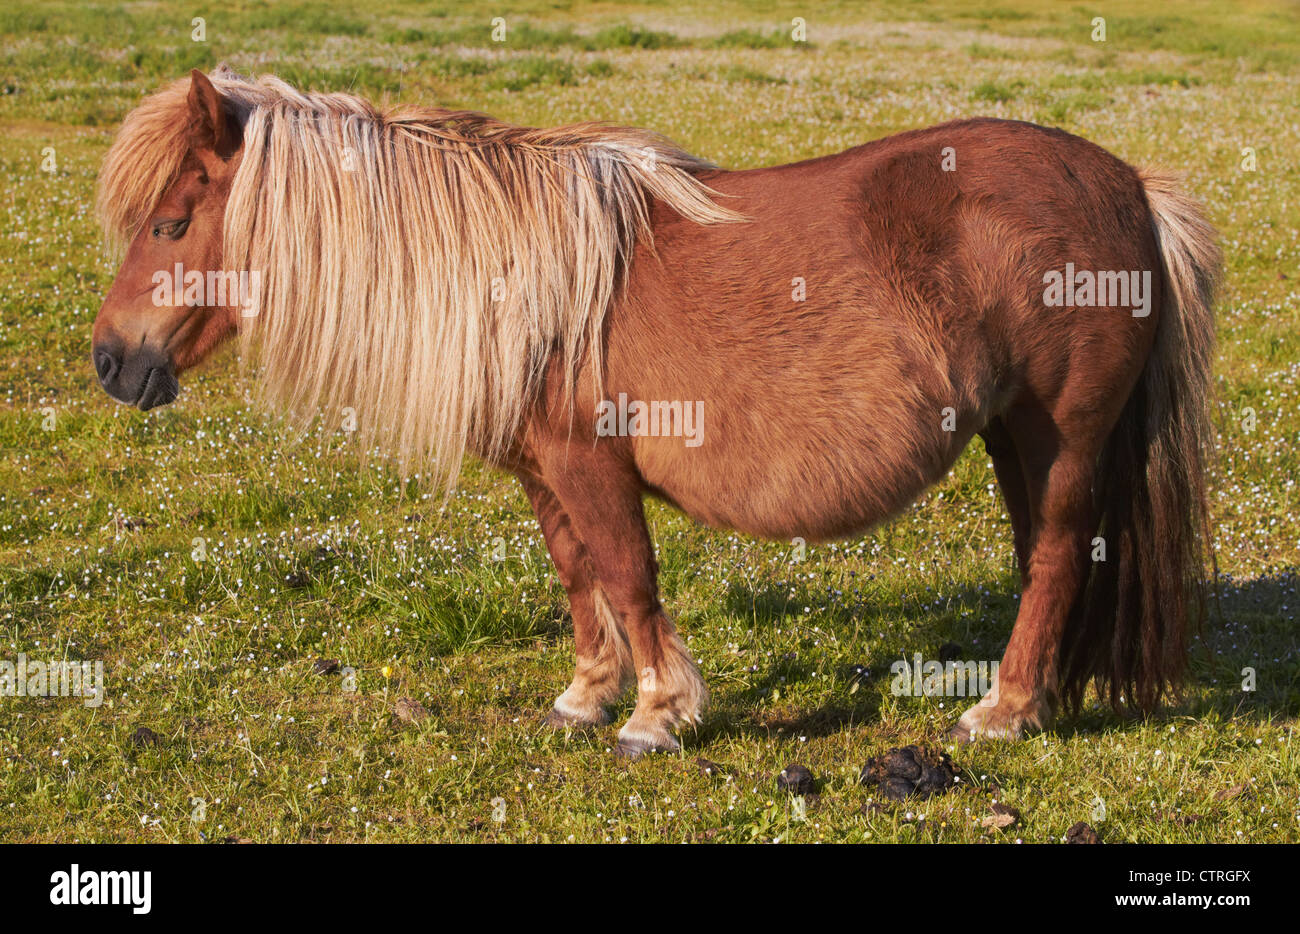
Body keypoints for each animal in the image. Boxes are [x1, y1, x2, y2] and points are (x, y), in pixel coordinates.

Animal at [94, 71, 1216, 759]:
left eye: (172, 223)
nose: (112, 360)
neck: (523, 277)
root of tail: (1128, 186)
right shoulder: (547, 471)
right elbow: (578, 576)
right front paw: (587, 695)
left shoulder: (594, 464)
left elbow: (630, 579)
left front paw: (655, 713)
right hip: (1015, 434)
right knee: (1047, 559)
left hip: (1060, 434)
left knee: (1058, 557)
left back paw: (1005, 710)